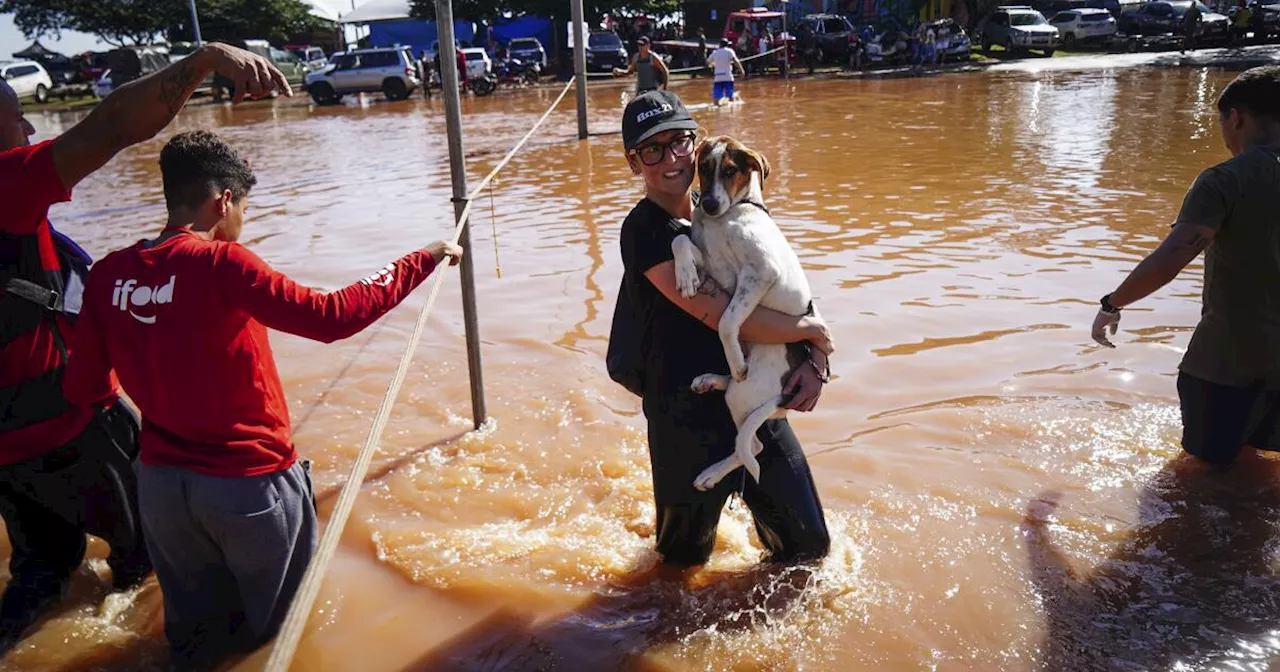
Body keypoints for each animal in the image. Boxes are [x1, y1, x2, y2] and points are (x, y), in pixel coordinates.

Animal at [675, 136, 814, 488]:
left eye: (730, 171)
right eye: (703, 167)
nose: (708, 204)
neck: (728, 216)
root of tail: (784, 398)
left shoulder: (761, 272)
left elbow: (727, 322)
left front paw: (736, 363)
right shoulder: (710, 262)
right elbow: (680, 241)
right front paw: (685, 276)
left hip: (744, 393)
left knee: (751, 446)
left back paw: (711, 473)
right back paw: (711, 379)